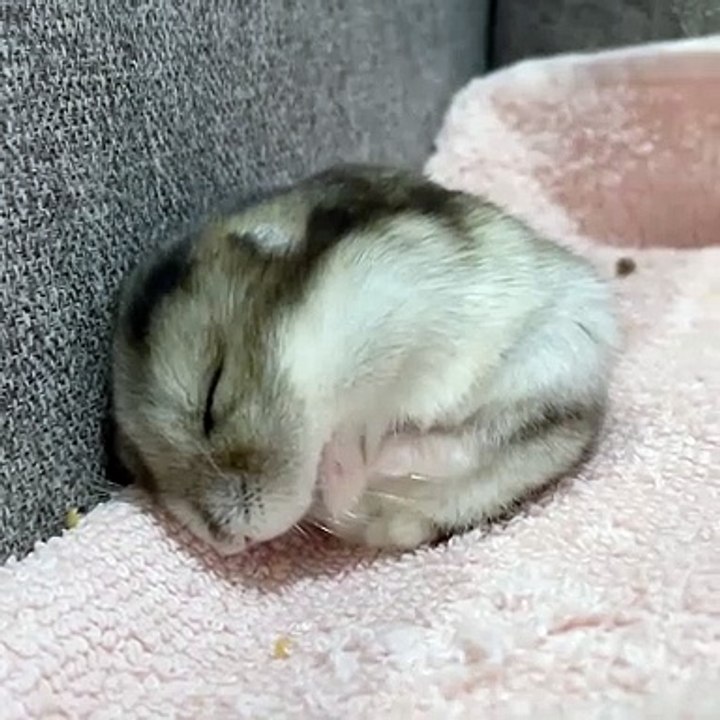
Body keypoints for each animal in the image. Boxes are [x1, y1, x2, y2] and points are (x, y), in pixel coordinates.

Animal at [110, 164, 618, 554]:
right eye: (147, 473)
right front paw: (340, 472)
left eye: (212, 397)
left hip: (559, 359)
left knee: (480, 437)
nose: (227, 543)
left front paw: (347, 452)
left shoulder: (404, 322)